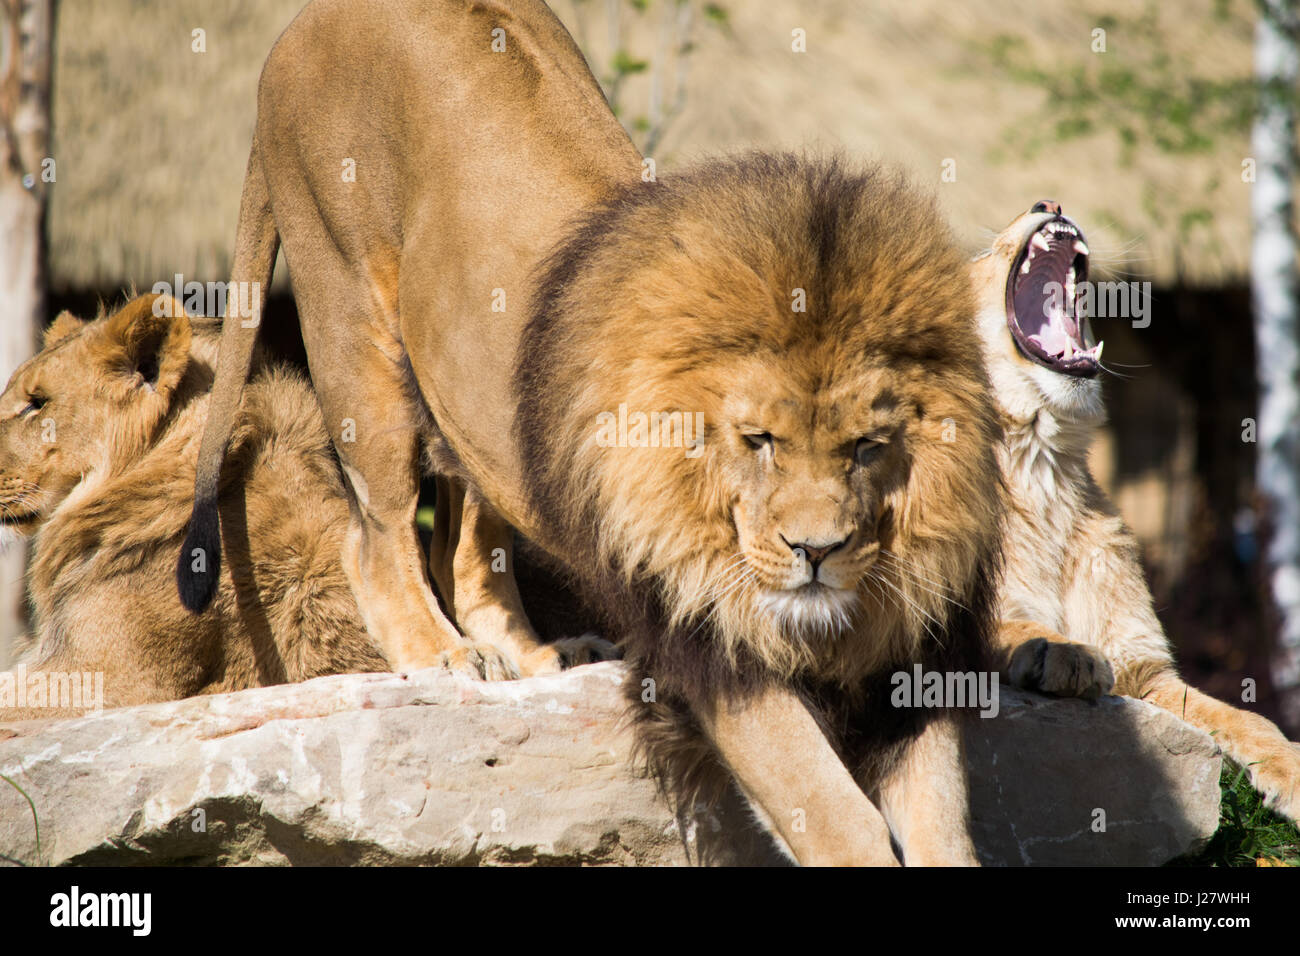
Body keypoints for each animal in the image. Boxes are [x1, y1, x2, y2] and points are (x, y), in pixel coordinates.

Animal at [179, 0, 1004, 865]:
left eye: (867, 449)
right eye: (759, 441)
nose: (819, 552)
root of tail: (304, 21)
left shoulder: (913, 647)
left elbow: (943, 826)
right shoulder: (707, 633)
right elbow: (834, 811)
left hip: (489, 411)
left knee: (466, 548)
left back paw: (539, 656)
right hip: (351, 321)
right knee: (376, 537)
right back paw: (446, 656)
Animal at [975, 200, 1300, 822]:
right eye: (979, 253)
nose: (1048, 204)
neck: (1043, 466)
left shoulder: (1145, 675)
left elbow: (1244, 717)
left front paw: (1292, 771)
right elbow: (1004, 627)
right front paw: (1062, 653)